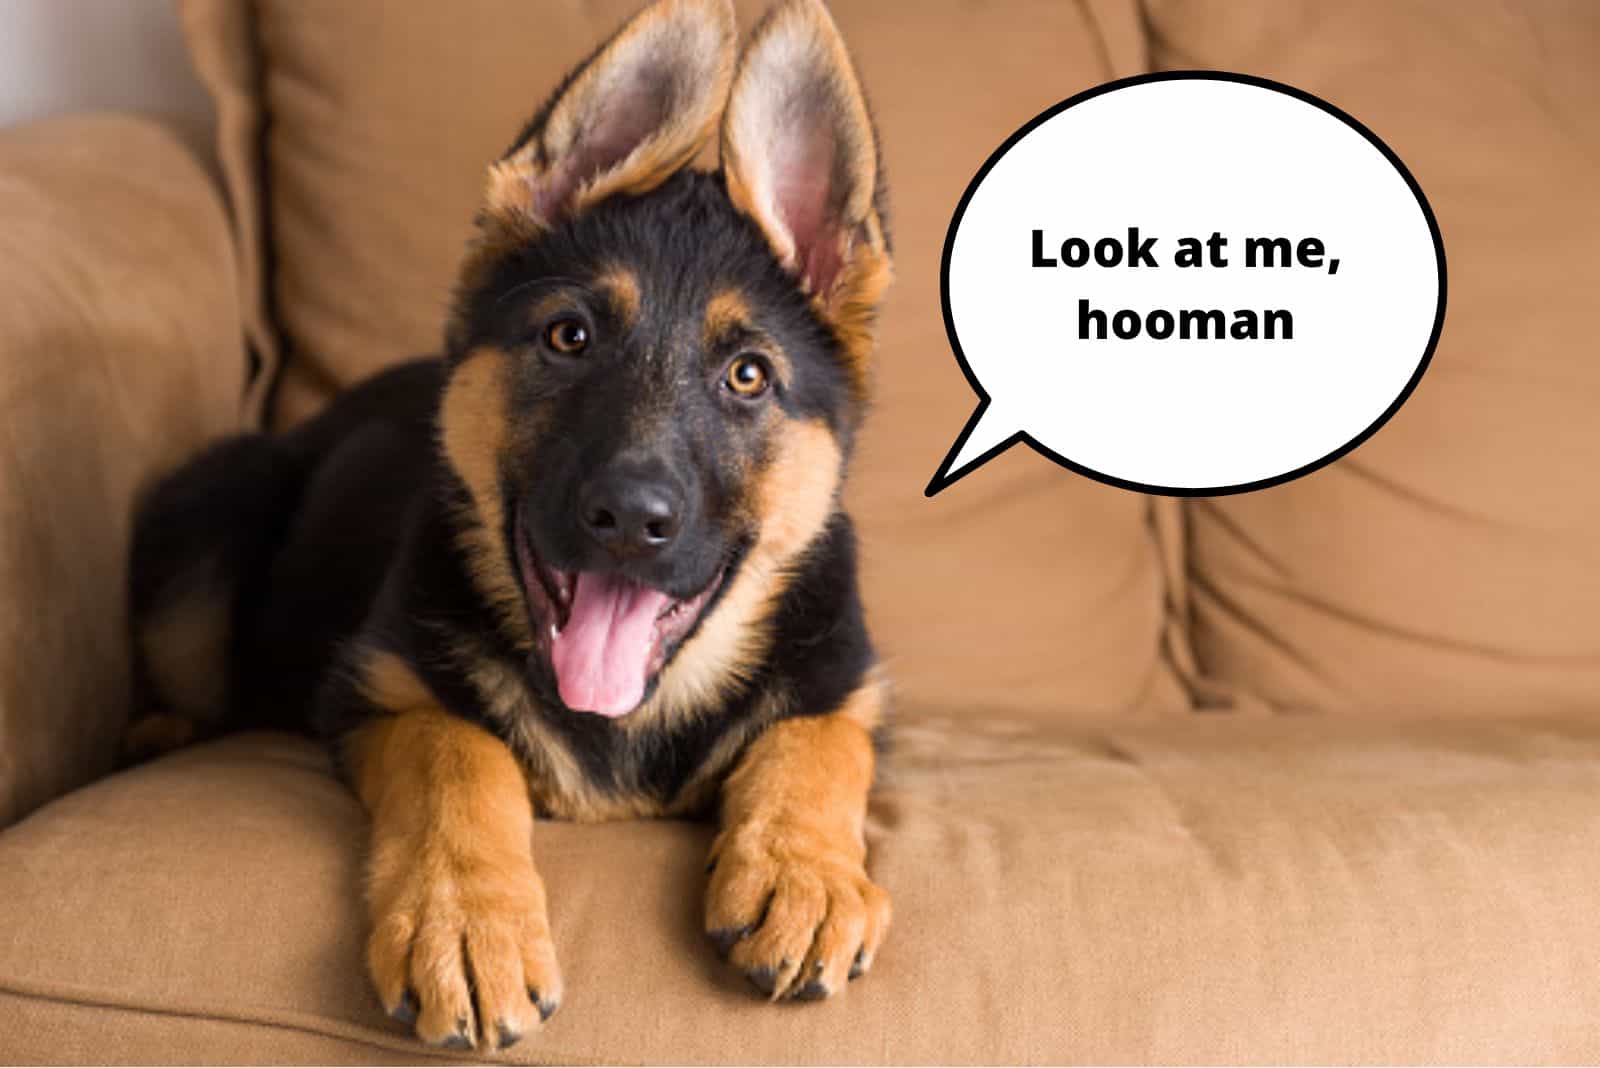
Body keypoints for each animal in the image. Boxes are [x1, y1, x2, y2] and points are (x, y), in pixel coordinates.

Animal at [124, 0, 896, 1048]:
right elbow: (460, 754)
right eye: (569, 336)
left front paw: (802, 875)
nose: (629, 519)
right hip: (215, 507)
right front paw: (463, 925)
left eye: (748, 376)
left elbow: (817, 742)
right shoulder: (382, 690)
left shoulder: (845, 684)